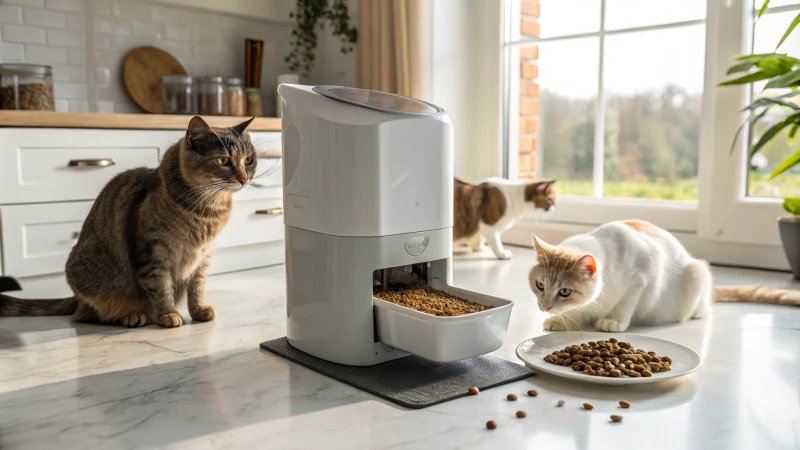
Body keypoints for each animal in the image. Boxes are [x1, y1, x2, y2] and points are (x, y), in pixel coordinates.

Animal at [0, 116, 266, 326]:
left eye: (249, 160)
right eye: (223, 160)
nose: (244, 178)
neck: (208, 210)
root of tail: (76, 299)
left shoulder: (203, 255)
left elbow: (196, 287)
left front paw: (198, 311)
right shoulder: (152, 251)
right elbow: (161, 287)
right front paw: (168, 314)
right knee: (90, 314)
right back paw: (131, 316)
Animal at [528, 220, 796, 332]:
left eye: (565, 291)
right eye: (540, 285)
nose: (545, 307)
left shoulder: (642, 276)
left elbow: (625, 304)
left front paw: (613, 322)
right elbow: (576, 312)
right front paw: (562, 320)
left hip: (697, 272)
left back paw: (697, 312)